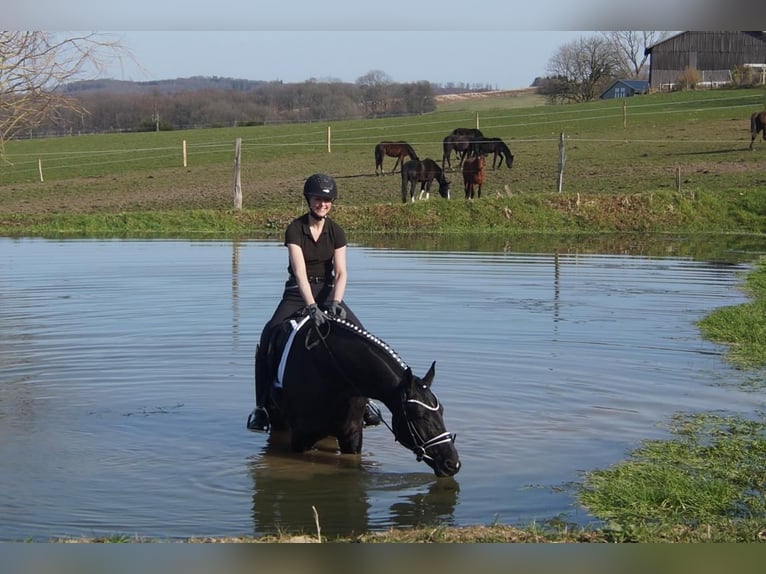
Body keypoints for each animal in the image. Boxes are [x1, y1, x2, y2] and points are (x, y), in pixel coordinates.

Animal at [246, 312, 461, 477]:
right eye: (419, 416)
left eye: (442, 411)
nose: (452, 464)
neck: (330, 372)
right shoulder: (301, 438)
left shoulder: (352, 434)